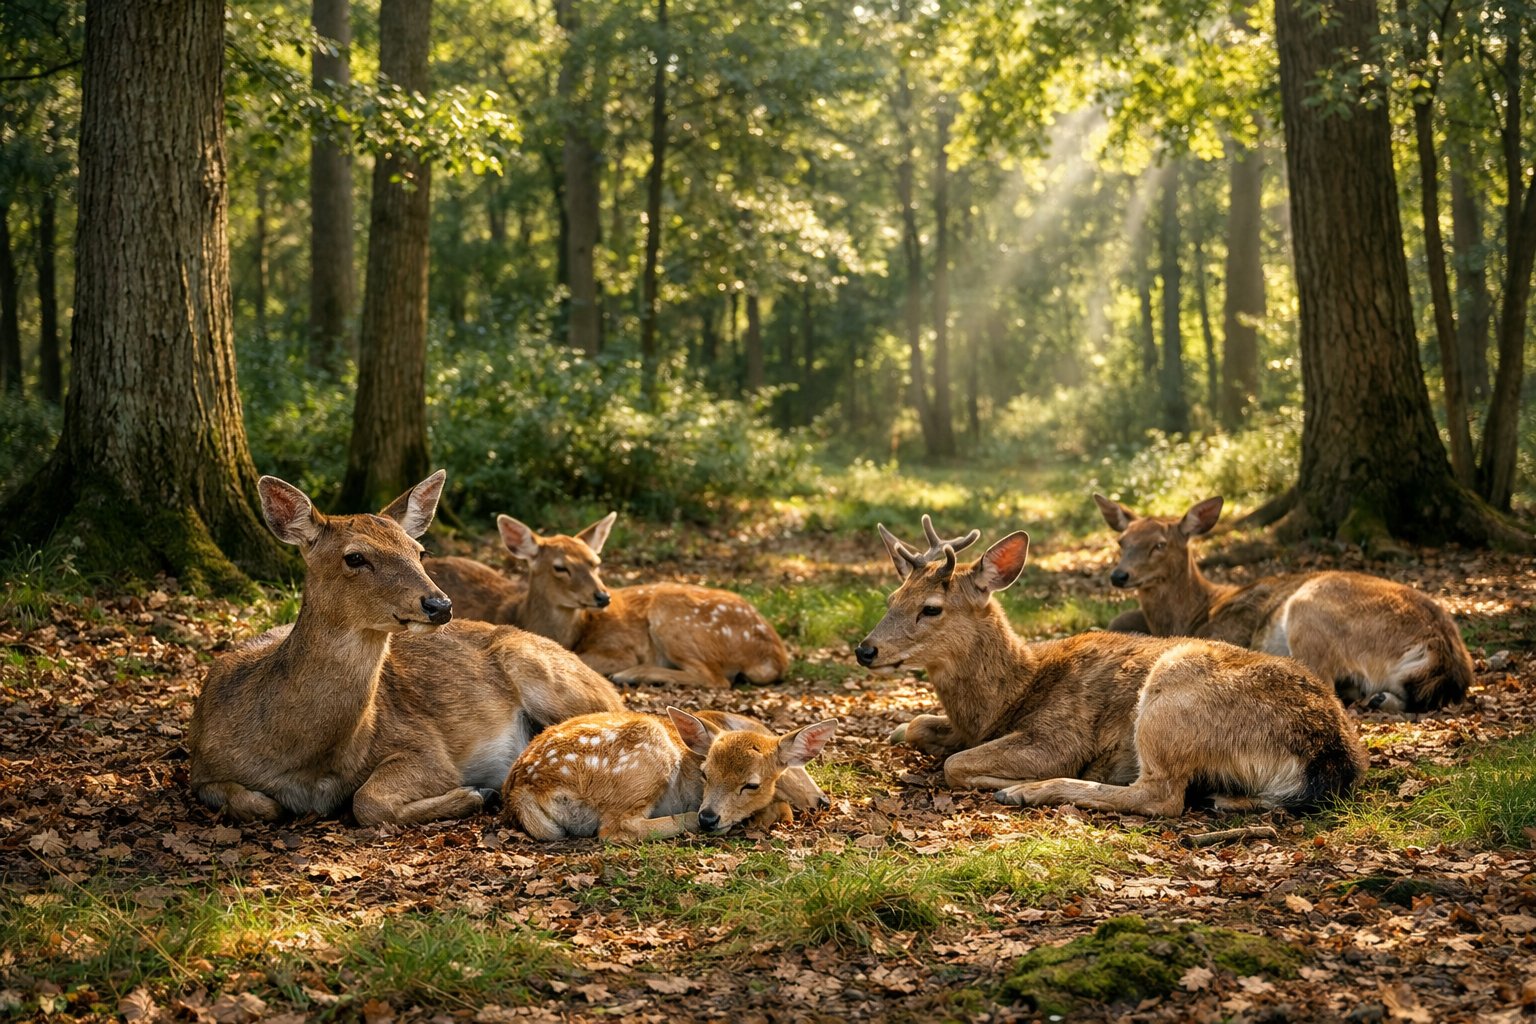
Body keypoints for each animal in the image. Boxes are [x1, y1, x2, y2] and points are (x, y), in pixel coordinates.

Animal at [187, 471, 625, 827]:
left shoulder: (424, 746)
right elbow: (256, 803)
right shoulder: (201, 768)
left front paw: (475, 793)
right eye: (355, 557)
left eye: (419, 551)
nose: (439, 604)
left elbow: (367, 800)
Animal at [431, 512, 790, 690]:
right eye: (560, 567)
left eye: (595, 562)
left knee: (716, 679)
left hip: (673, 617)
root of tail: (774, 656)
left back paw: (635, 674)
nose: (602, 596)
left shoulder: (620, 646)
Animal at [502, 707, 835, 841]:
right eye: (705, 774)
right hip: (645, 758)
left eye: (751, 784)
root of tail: (522, 790)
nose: (708, 817)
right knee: (617, 828)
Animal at [854, 516, 1367, 817]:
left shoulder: (1059, 735)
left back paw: (1028, 791)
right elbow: (915, 725)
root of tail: (1330, 755)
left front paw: (1003, 780)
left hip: (1172, 697)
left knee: (1162, 797)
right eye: (892, 598)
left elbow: (955, 763)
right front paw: (902, 730)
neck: (1005, 697)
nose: (865, 650)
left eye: (932, 608)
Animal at [1093, 494, 1473, 713]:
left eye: (1159, 544)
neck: (1197, 611)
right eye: (1122, 541)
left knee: (1325, 684)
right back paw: (1379, 699)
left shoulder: (1228, 629)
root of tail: (1443, 650)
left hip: (1309, 607)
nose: (1119, 575)